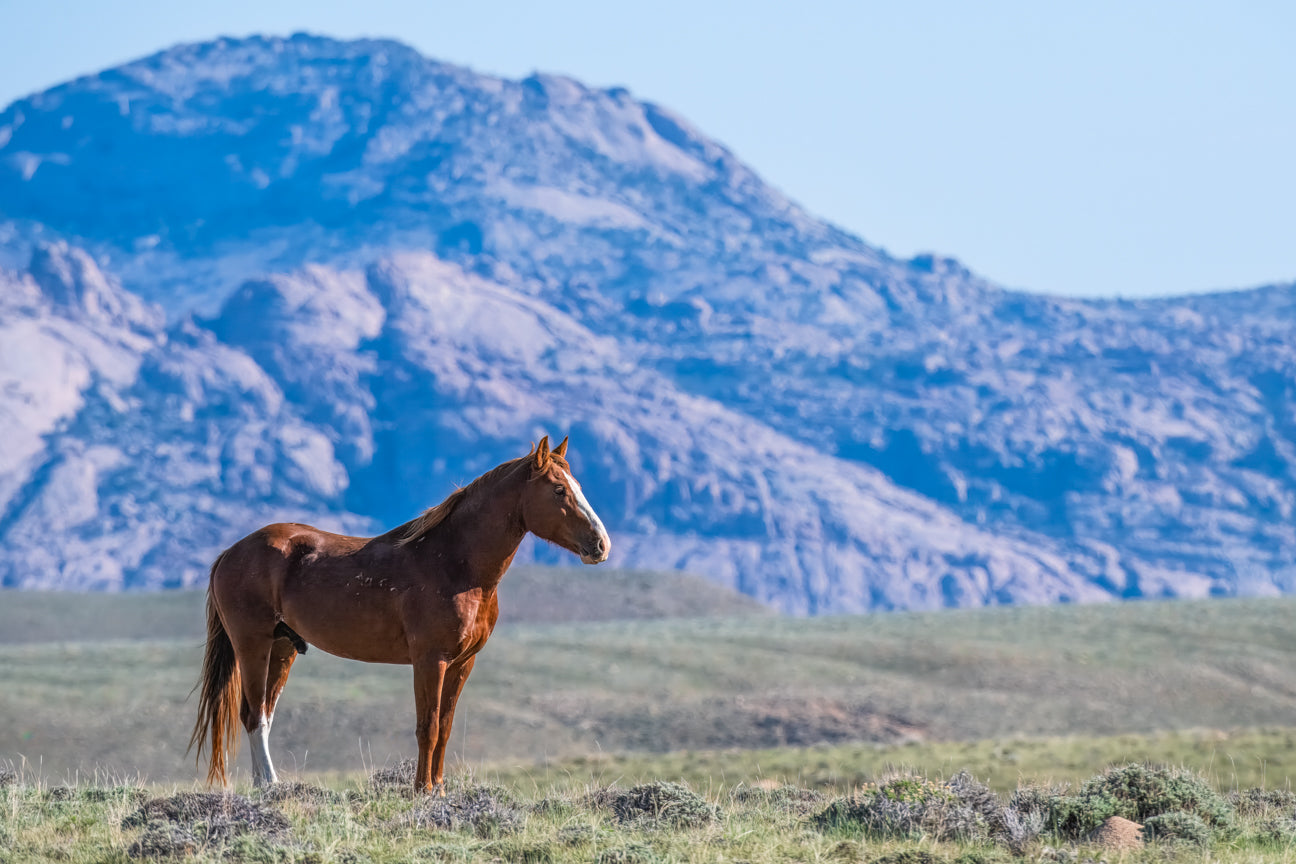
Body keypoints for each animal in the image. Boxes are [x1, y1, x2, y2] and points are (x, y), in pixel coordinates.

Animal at [189, 435, 609, 792]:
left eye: (579, 486)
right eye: (559, 489)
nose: (601, 545)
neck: (454, 564)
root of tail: (230, 553)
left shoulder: (462, 663)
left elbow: (445, 727)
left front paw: (438, 790)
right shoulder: (429, 660)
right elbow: (428, 727)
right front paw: (422, 790)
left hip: (283, 647)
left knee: (264, 714)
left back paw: (267, 785)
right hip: (253, 645)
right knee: (252, 715)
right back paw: (269, 786)